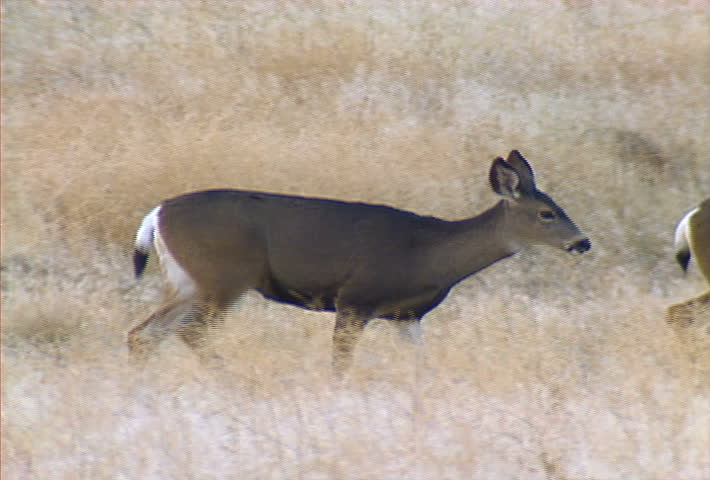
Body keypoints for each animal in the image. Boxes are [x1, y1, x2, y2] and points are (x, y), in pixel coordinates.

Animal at [128, 150, 591, 376]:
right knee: (186, 332)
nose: (583, 242)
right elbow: (340, 363)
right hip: (224, 277)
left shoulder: (407, 315)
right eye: (546, 213)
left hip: (188, 281)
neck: (431, 253)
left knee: (143, 333)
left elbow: (424, 366)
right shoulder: (355, 298)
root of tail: (155, 214)